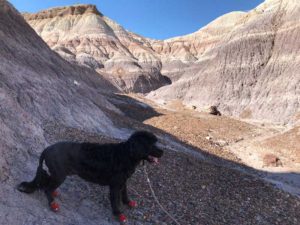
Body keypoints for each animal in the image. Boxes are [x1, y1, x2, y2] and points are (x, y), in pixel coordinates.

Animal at [18, 131, 164, 222]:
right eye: (151, 144)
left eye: (156, 142)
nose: (163, 152)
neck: (127, 154)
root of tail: (47, 149)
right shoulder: (115, 185)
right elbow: (116, 201)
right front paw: (119, 214)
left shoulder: (124, 181)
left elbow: (125, 194)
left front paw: (128, 202)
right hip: (59, 174)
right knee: (46, 188)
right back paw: (53, 204)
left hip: (56, 173)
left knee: (46, 184)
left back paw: (53, 194)